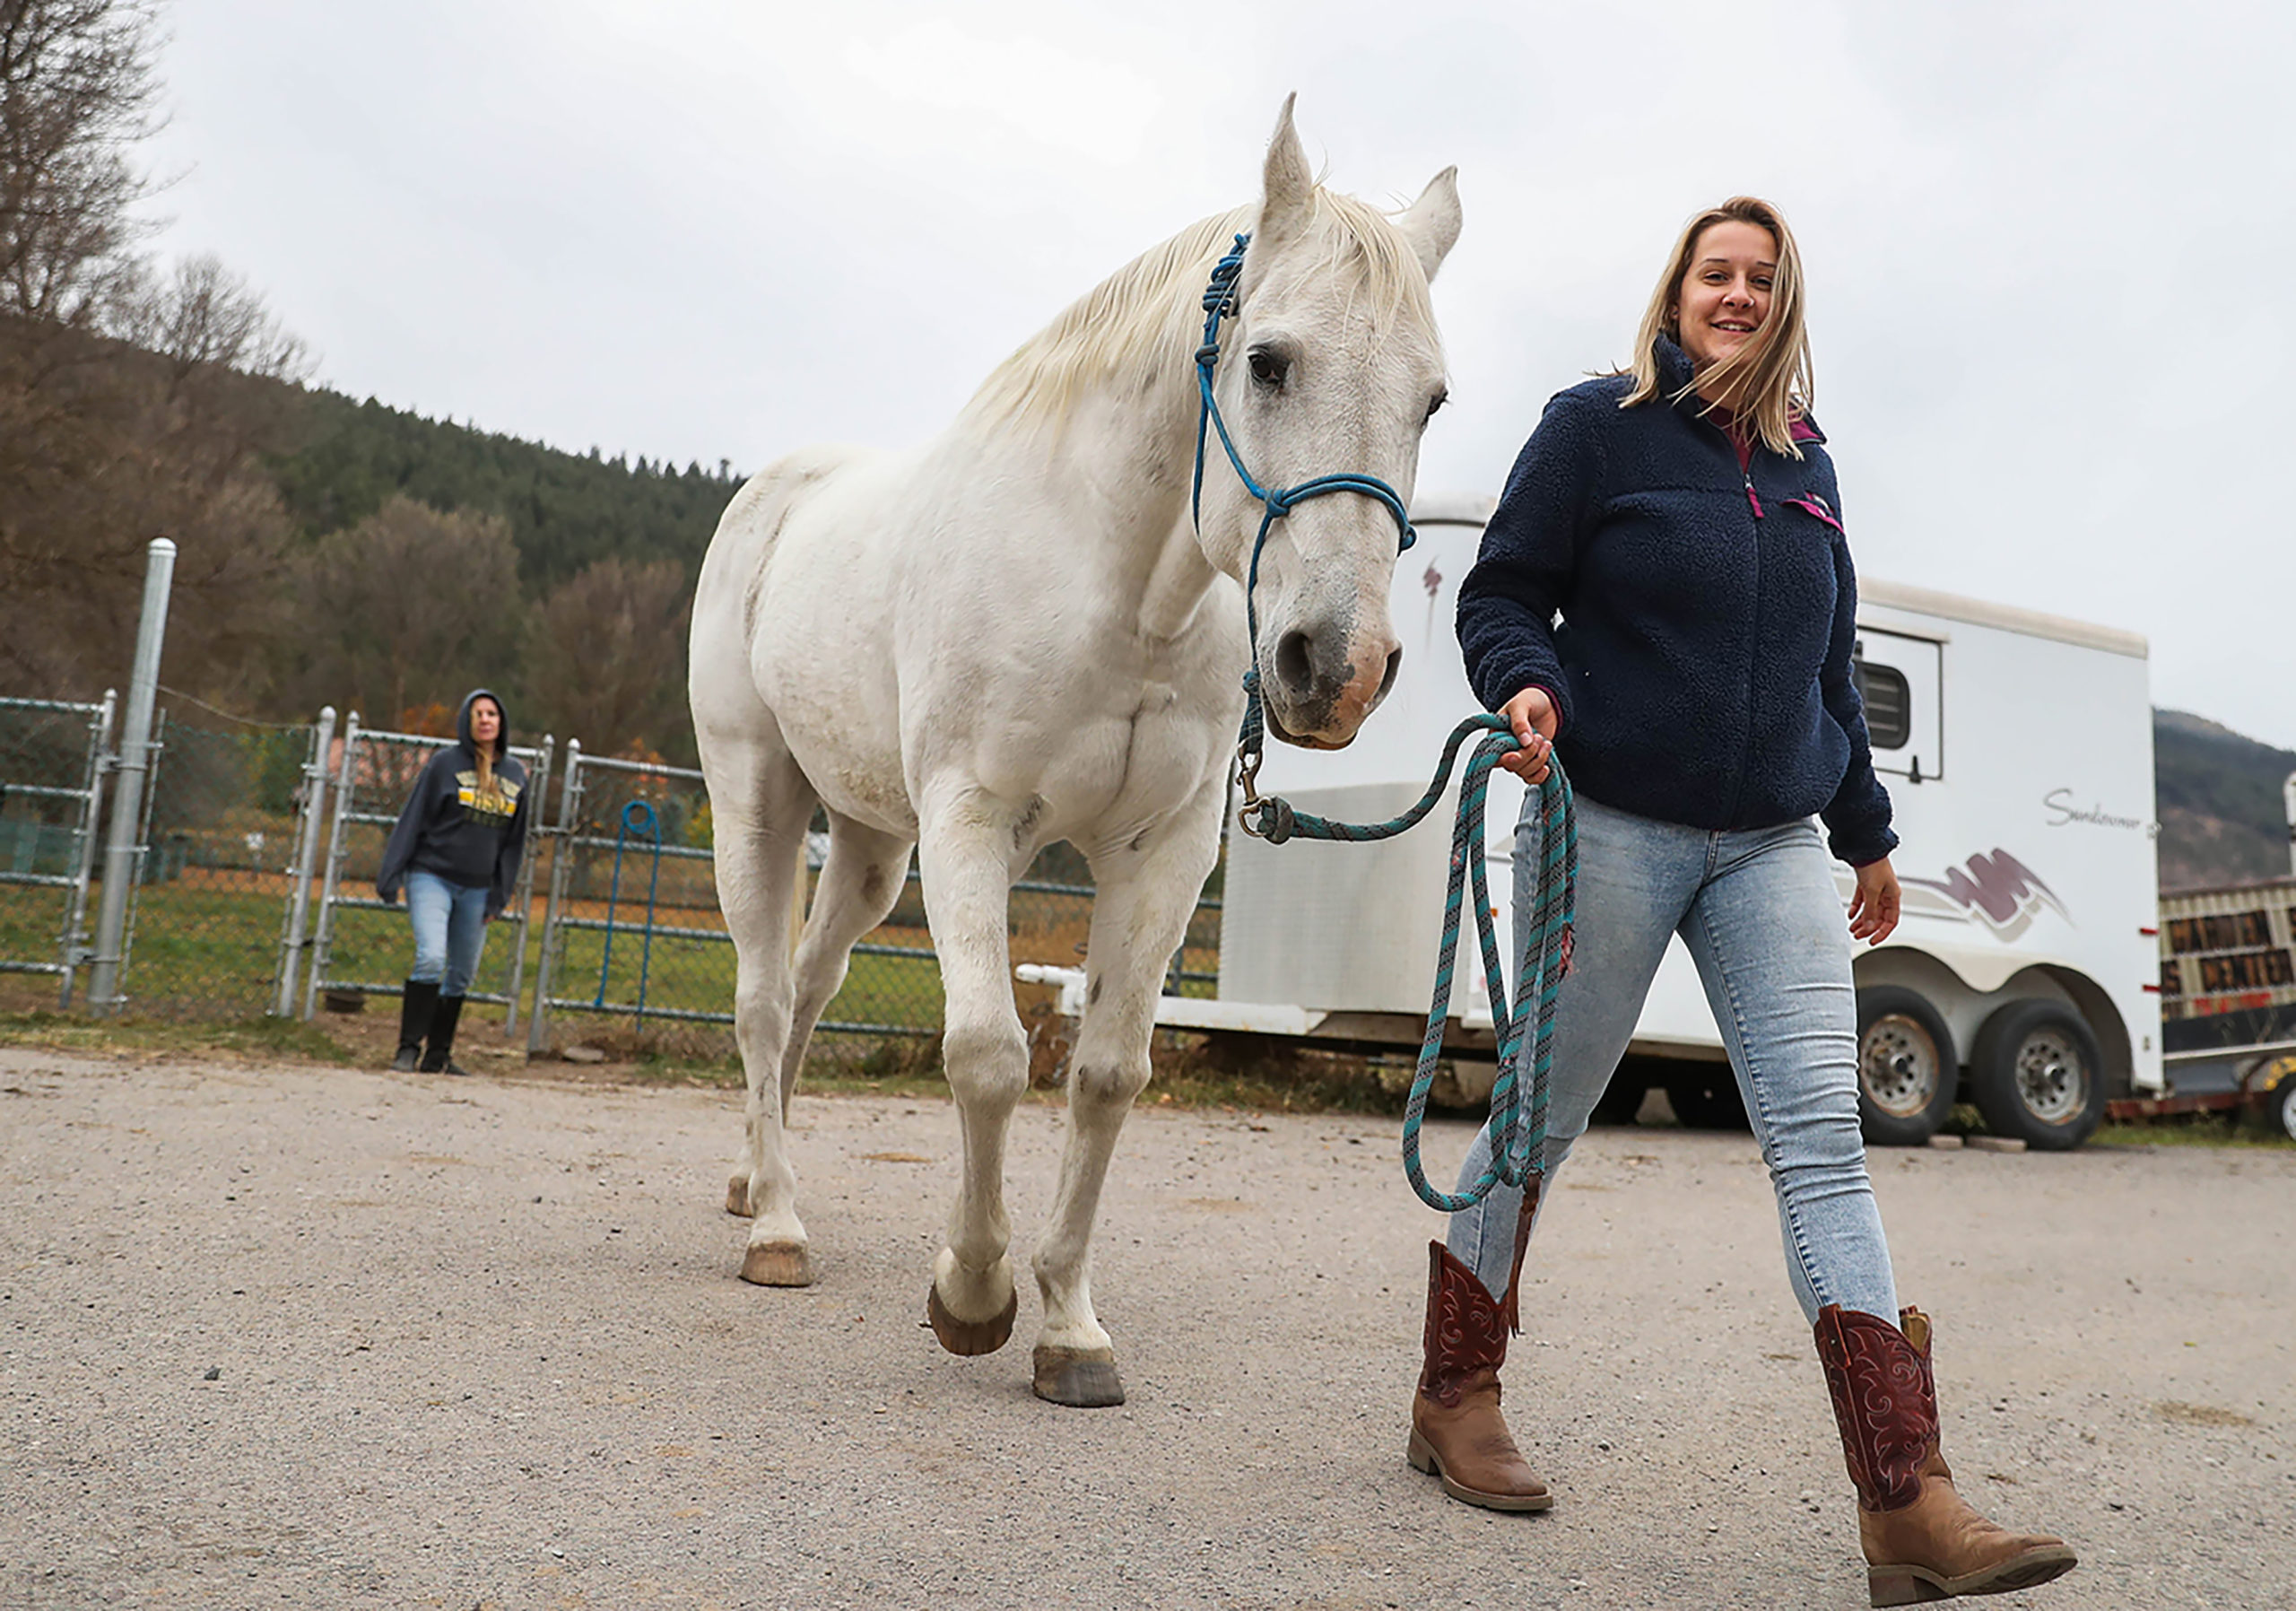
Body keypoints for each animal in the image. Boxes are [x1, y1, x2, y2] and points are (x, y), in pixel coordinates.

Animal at [689, 104, 1460, 1413]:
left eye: (1433, 402)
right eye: (1269, 362)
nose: (1336, 666)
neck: (1119, 588)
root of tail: (779, 491)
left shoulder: (1160, 851)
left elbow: (1104, 1073)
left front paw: (1067, 1326)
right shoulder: (973, 819)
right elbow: (989, 1056)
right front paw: (973, 1292)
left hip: (871, 846)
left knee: (810, 988)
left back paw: (758, 1177)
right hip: (756, 798)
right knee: (759, 998)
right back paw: (778, 1226)